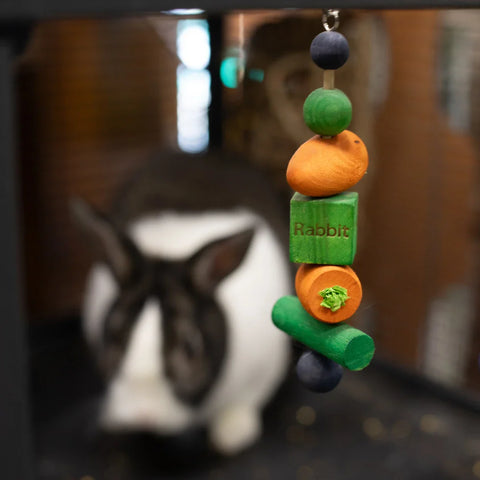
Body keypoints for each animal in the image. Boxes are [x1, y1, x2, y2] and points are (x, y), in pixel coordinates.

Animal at [75, 152, 292, 456]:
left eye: (190, 347)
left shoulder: (261, 373)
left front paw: (231, 435)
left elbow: (244, 403)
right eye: (113, 336)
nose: (143, 417)